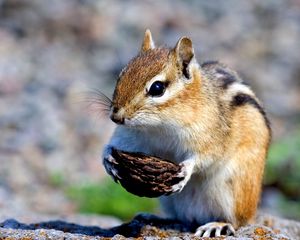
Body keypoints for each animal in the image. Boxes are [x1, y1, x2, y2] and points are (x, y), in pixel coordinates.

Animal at [102, 29, 270, 237]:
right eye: (121, 74)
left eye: (157, 88)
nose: (116, 116)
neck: (159, 127)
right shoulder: (130, 136)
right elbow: (113, 145)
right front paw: (108, 158)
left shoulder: (210, 135)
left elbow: (206, 156)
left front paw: (186, 170)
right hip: (168, 200)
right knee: (179, 219)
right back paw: (154, 218)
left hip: (233, 191)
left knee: (238, 222)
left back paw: (217, 225)